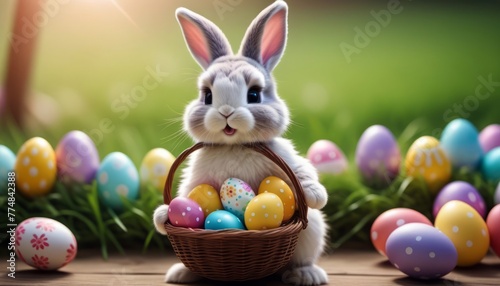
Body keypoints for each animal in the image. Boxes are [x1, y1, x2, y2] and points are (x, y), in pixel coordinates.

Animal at [154, 1, 330, 284]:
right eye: (207, 96)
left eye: (254, 94)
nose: (226, 112)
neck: (234, 145)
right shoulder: (195, 178)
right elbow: (184, 193)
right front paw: (162, 215)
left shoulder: (286, 158)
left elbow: (302, 171)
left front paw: (315, 194)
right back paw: (180, 273)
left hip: (312, 231)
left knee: (299, 260)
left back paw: (306, 275)